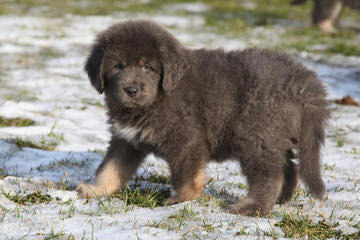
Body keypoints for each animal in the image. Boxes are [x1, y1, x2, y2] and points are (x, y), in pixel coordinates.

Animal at [77, 19, 330, 217]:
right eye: (117, 66)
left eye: (147, 67)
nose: (131, 90)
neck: (157, 98)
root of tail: (301, 81)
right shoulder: (126, 139)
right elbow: (110, 168)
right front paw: (95, 190)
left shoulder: (186, 139)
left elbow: (186, 174)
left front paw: (182, 199)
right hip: (274, 137)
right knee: (289, 169)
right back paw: (280, 200)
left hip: (257, 137)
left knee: (270, 176)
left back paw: (251, 208)